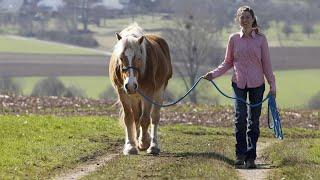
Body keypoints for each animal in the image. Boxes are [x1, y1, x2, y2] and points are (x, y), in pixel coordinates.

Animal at [109, 23, 172, 155]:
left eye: (138, 58)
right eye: (121, 57)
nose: (130, 85)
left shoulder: (148, 94)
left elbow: (146, 119)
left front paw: (143, 143)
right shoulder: (123, 94)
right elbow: (129, 118)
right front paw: (131, 145)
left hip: (159, 92)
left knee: (154, 117)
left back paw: (153, 145)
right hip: (134, 97)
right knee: (136, 117)